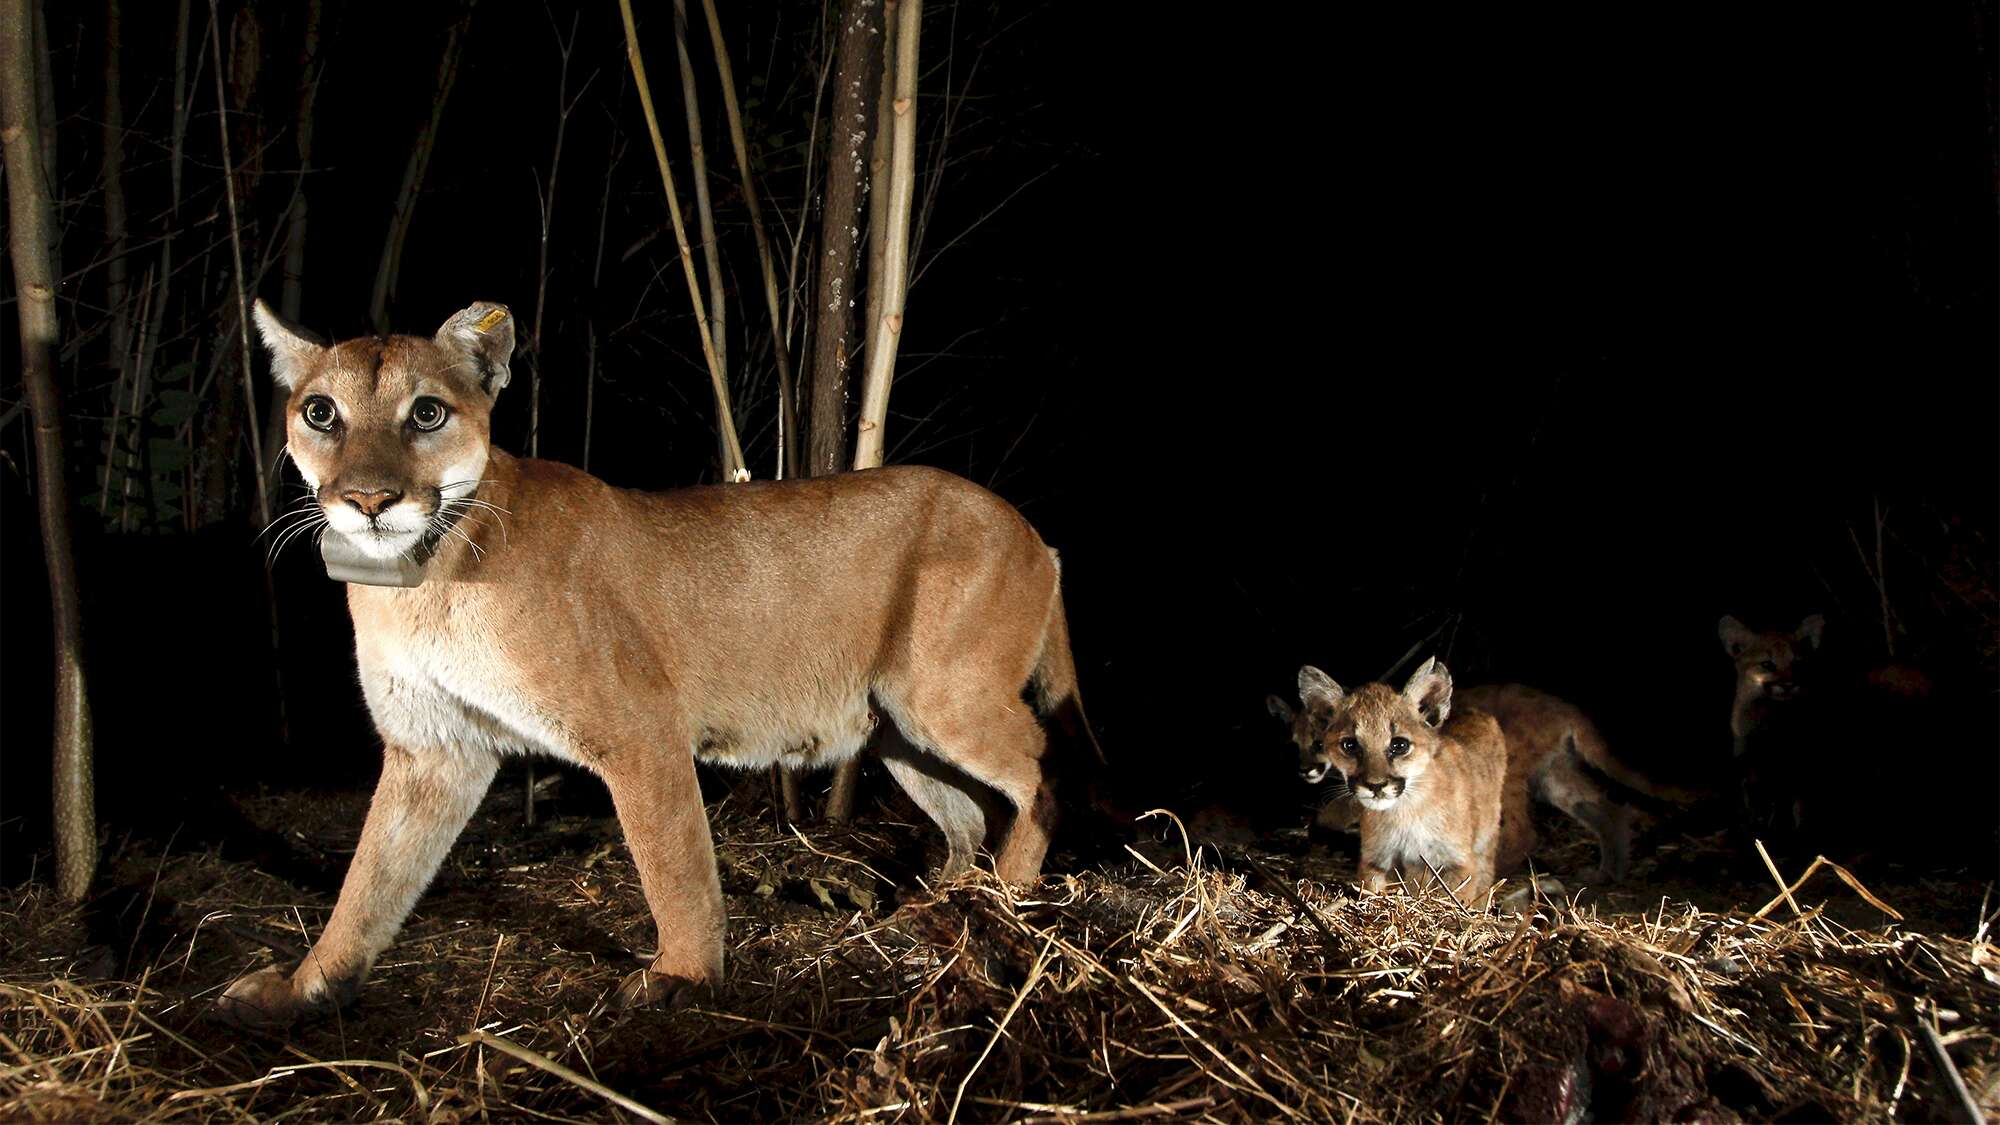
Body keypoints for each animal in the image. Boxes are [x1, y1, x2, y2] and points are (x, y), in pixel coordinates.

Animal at [219, 298, 1096, 1024]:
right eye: (320, 412)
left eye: (427, 412)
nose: (369, 501)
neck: (420, 579)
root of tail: (1034, 531)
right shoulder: (435, 748)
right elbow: (370, 880)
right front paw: (305, 987)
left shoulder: (640, 729)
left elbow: (673, 862)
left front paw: (683, 977)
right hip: (896, 728)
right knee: (970, 812)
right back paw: (940, 909)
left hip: (943, 695)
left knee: (1045, 769)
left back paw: (1011, 895)